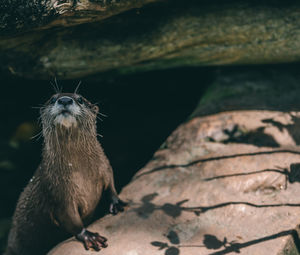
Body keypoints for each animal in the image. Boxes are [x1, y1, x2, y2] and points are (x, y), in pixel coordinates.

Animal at [5, 92, 125, 254]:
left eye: (80, 99)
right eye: (53, 99)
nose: (65, 100)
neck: (83, 173)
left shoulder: (105, 167)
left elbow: (111, 185)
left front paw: (117, 203)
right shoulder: (57, 193)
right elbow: (71, 221)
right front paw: (89, 236)